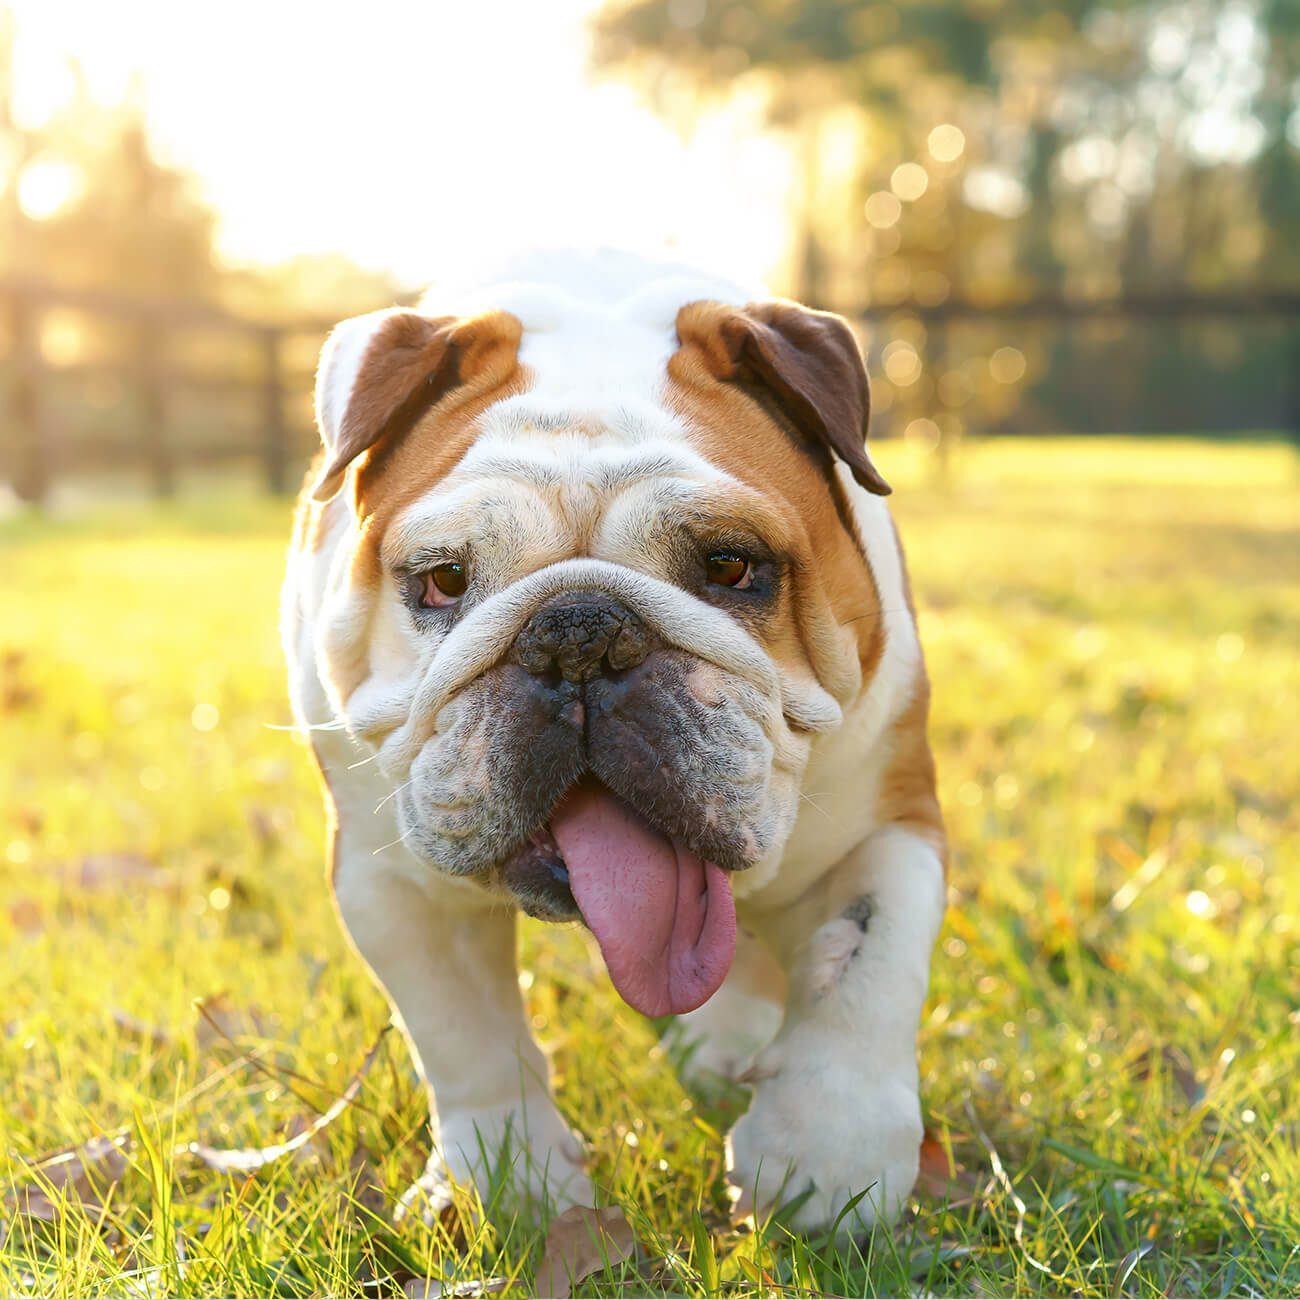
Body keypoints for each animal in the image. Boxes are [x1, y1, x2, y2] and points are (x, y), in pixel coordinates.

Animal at [282, 248, 946, 1232]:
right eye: (444, 580)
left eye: (730, 566)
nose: (579, 633)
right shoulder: (394, 884)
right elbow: (465, 1035)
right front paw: (510, 1184)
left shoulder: (887, 819)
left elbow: (870, 968)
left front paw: (828, 1159)